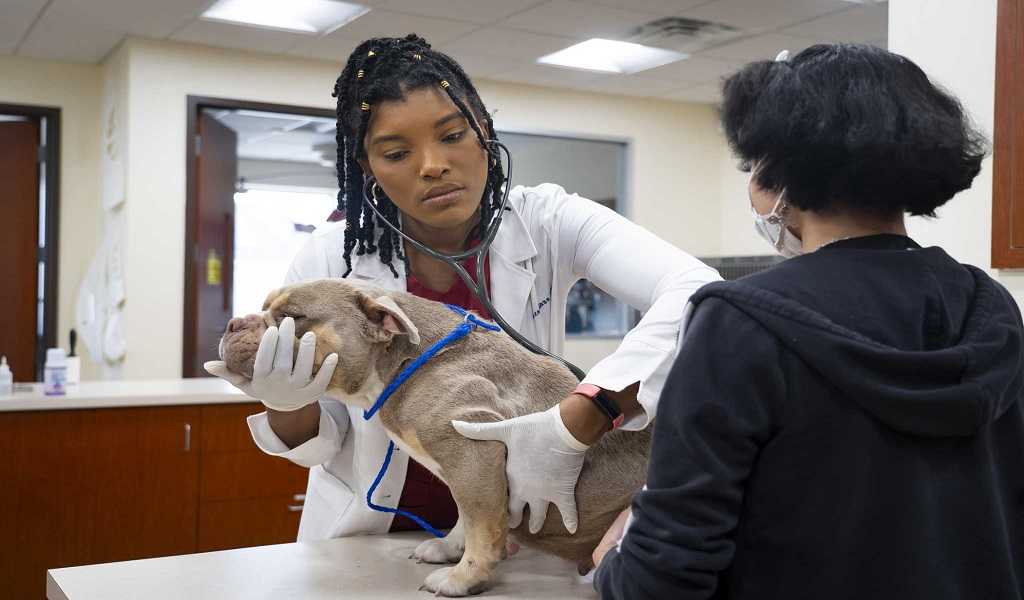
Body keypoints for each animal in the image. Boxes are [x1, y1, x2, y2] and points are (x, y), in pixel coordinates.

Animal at [219, 279, 651, 596]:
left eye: (292, 317)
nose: (232, 323)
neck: (406, 360)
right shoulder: (468, 470)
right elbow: (466, 516)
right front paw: (449, 548)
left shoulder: (473, 451)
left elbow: (482, 527)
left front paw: (465, 578)